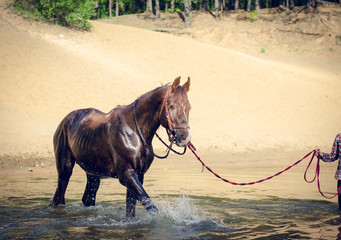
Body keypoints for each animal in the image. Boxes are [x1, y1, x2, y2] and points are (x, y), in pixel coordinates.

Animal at [51, 77, 193, 218]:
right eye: (172, 106)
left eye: (189, 107)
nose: (184, 138)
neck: (133, 130)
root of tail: (66, 119)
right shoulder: (127, 174)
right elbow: (149, 204)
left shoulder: (138, 175)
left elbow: (131, 209)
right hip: (65, 168)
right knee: (59, 198)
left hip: (93, 173)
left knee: (87, 199)